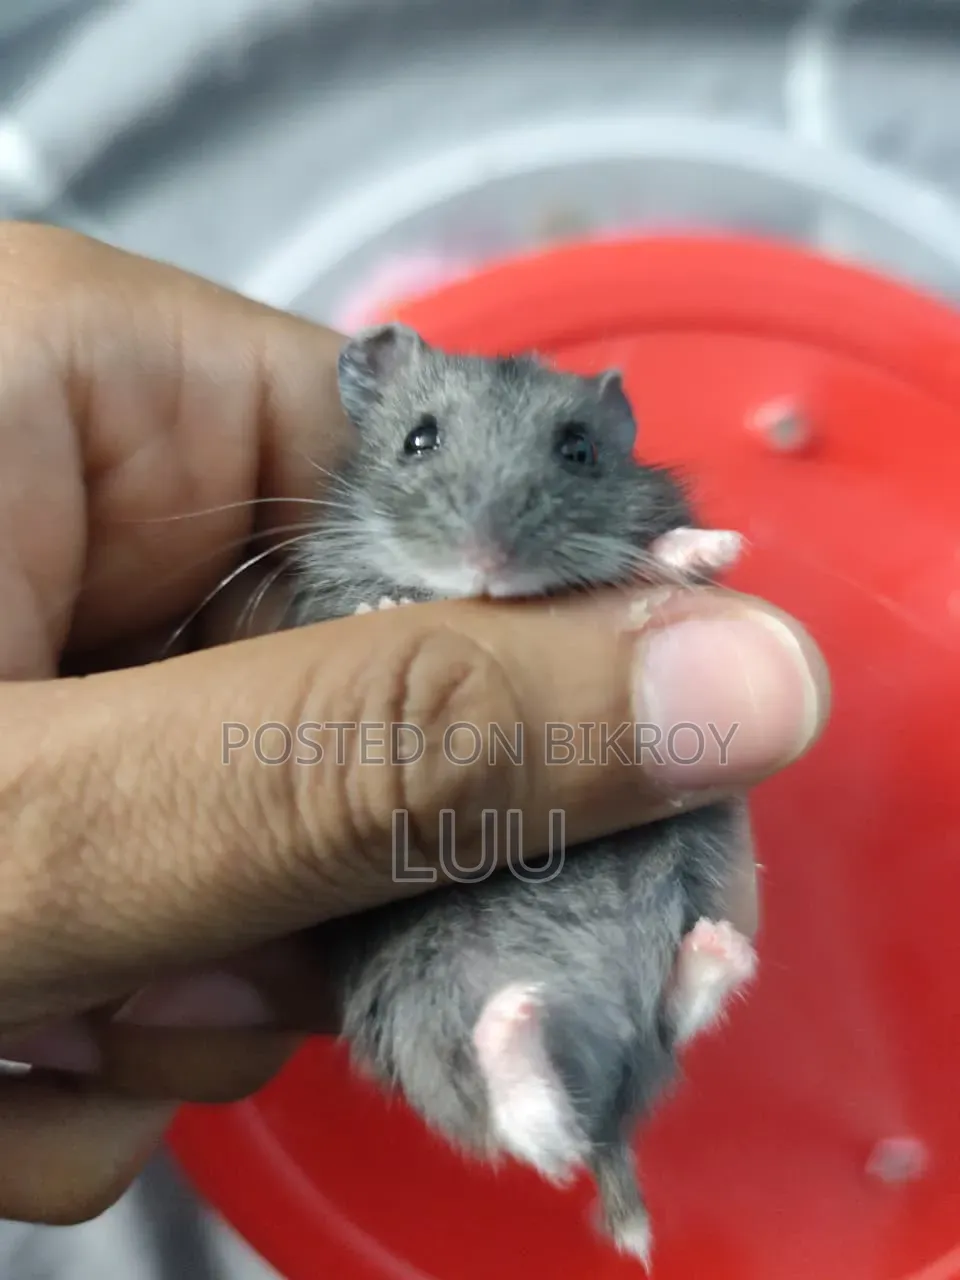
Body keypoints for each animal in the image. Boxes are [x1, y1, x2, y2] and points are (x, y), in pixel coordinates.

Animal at [285, 323, 757, 1269]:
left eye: (579, 450)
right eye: (417, 439)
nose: (489, 562)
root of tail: (614, 1108)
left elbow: (652, 565)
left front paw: (707, 550)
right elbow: (347, 605)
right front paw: (384, 606)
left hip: (698, 878)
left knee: (655, 1037)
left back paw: (710, 953)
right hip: (419, 1022)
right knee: (537, 1136)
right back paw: (515, 1022)